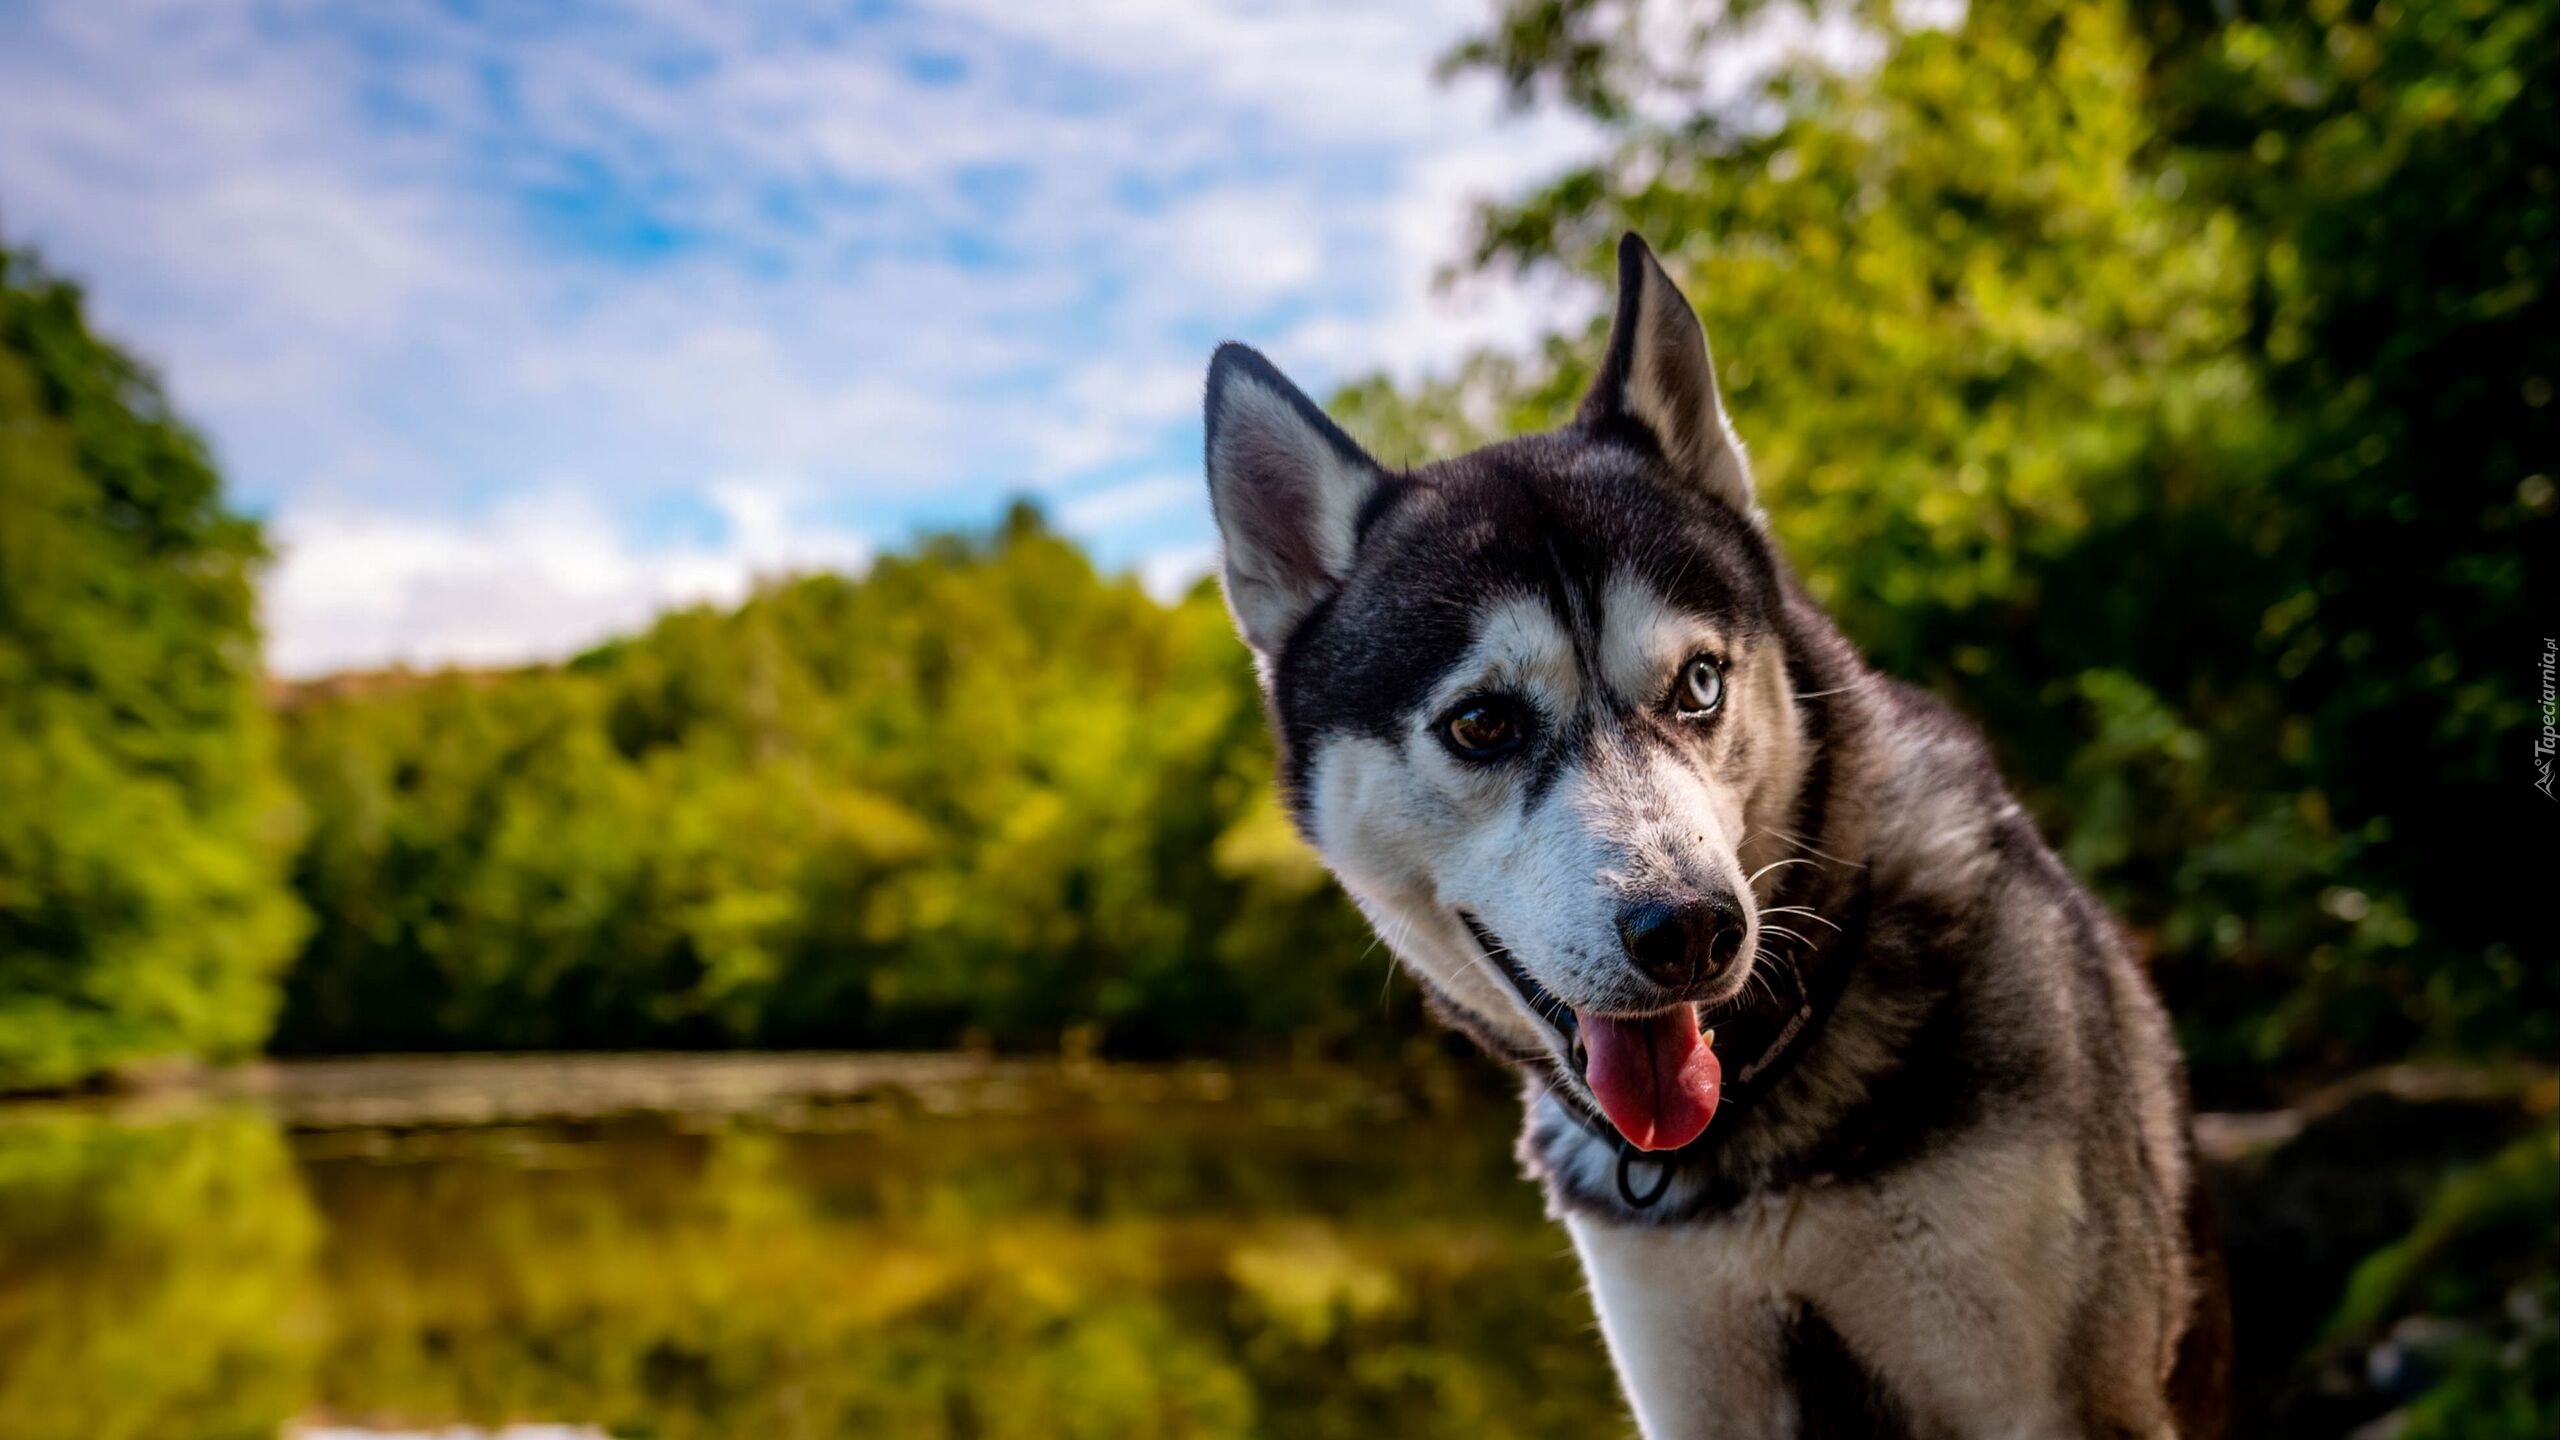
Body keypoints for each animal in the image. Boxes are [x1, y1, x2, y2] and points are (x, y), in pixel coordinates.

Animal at [1198, 233, 2222, 1424]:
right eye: (1482, 723)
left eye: (1698, 683)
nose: (1690, 930)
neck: (1749, 1132)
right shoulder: (1692, 1381)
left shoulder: (2047, 1400)